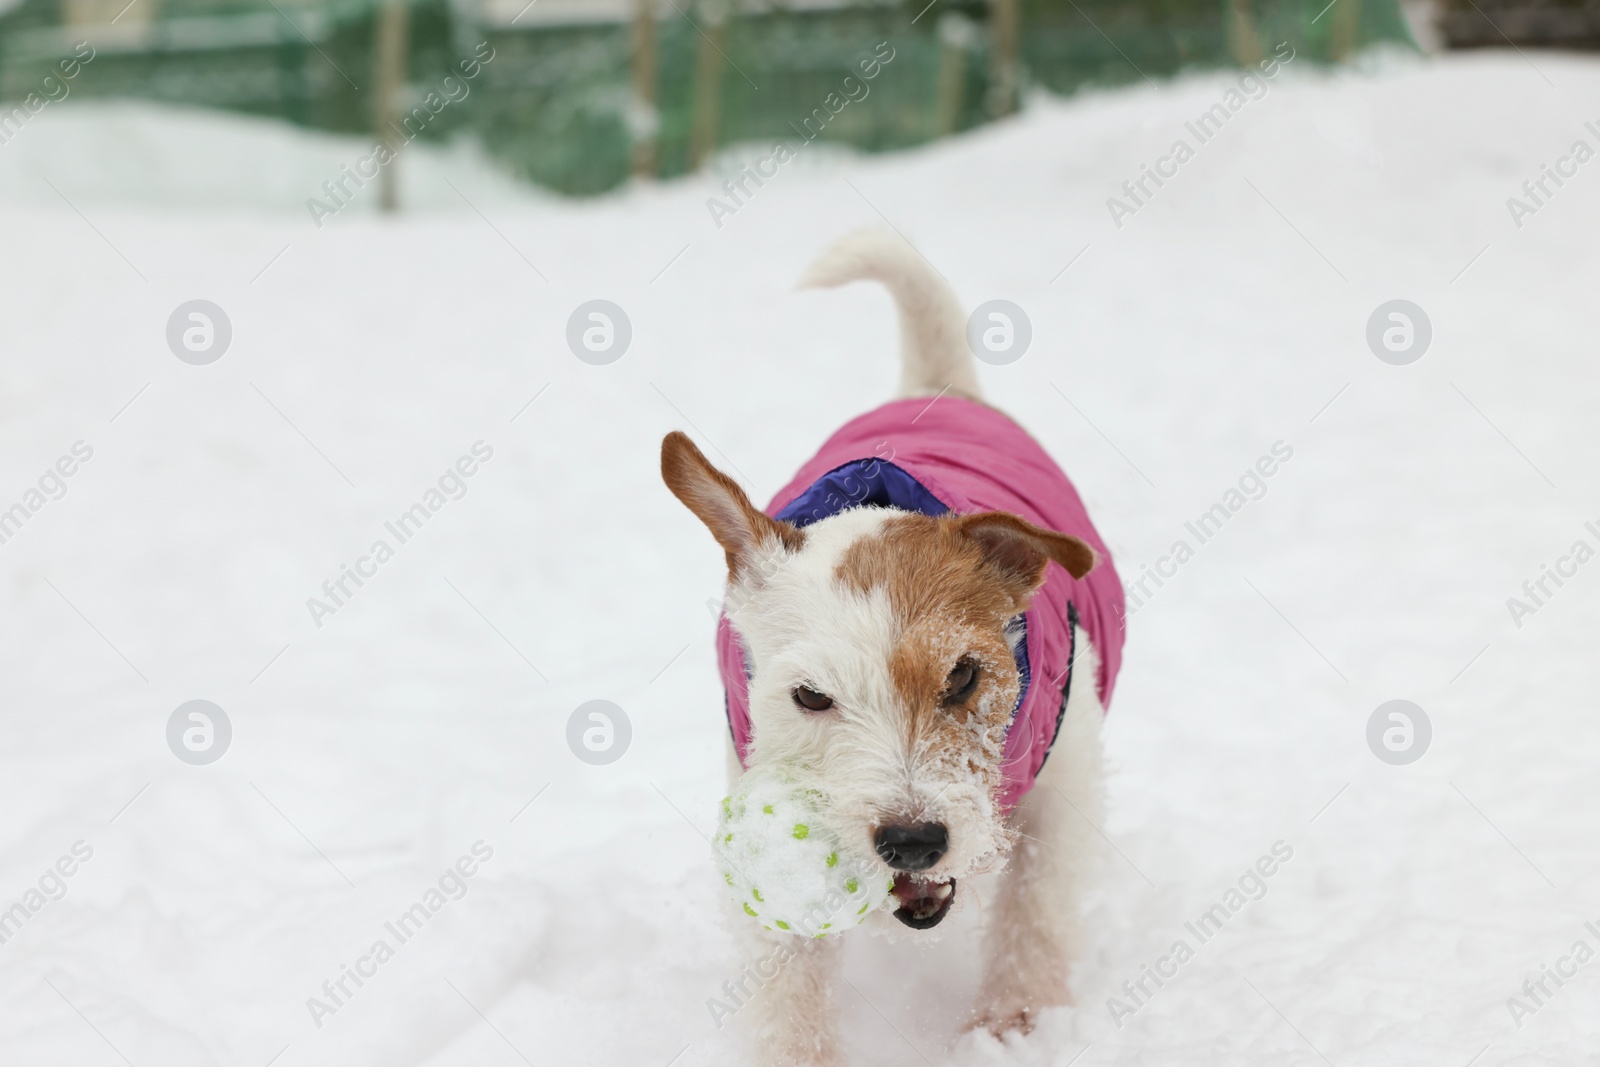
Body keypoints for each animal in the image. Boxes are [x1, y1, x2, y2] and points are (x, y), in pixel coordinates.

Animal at [662, 230, 1126, 1062]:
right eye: (810, 695)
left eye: (964, 675)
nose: (912, 841)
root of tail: (934, 387)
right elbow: (788, 976)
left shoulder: (1066, 780)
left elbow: (1035, 912)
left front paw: (1014, 1024)